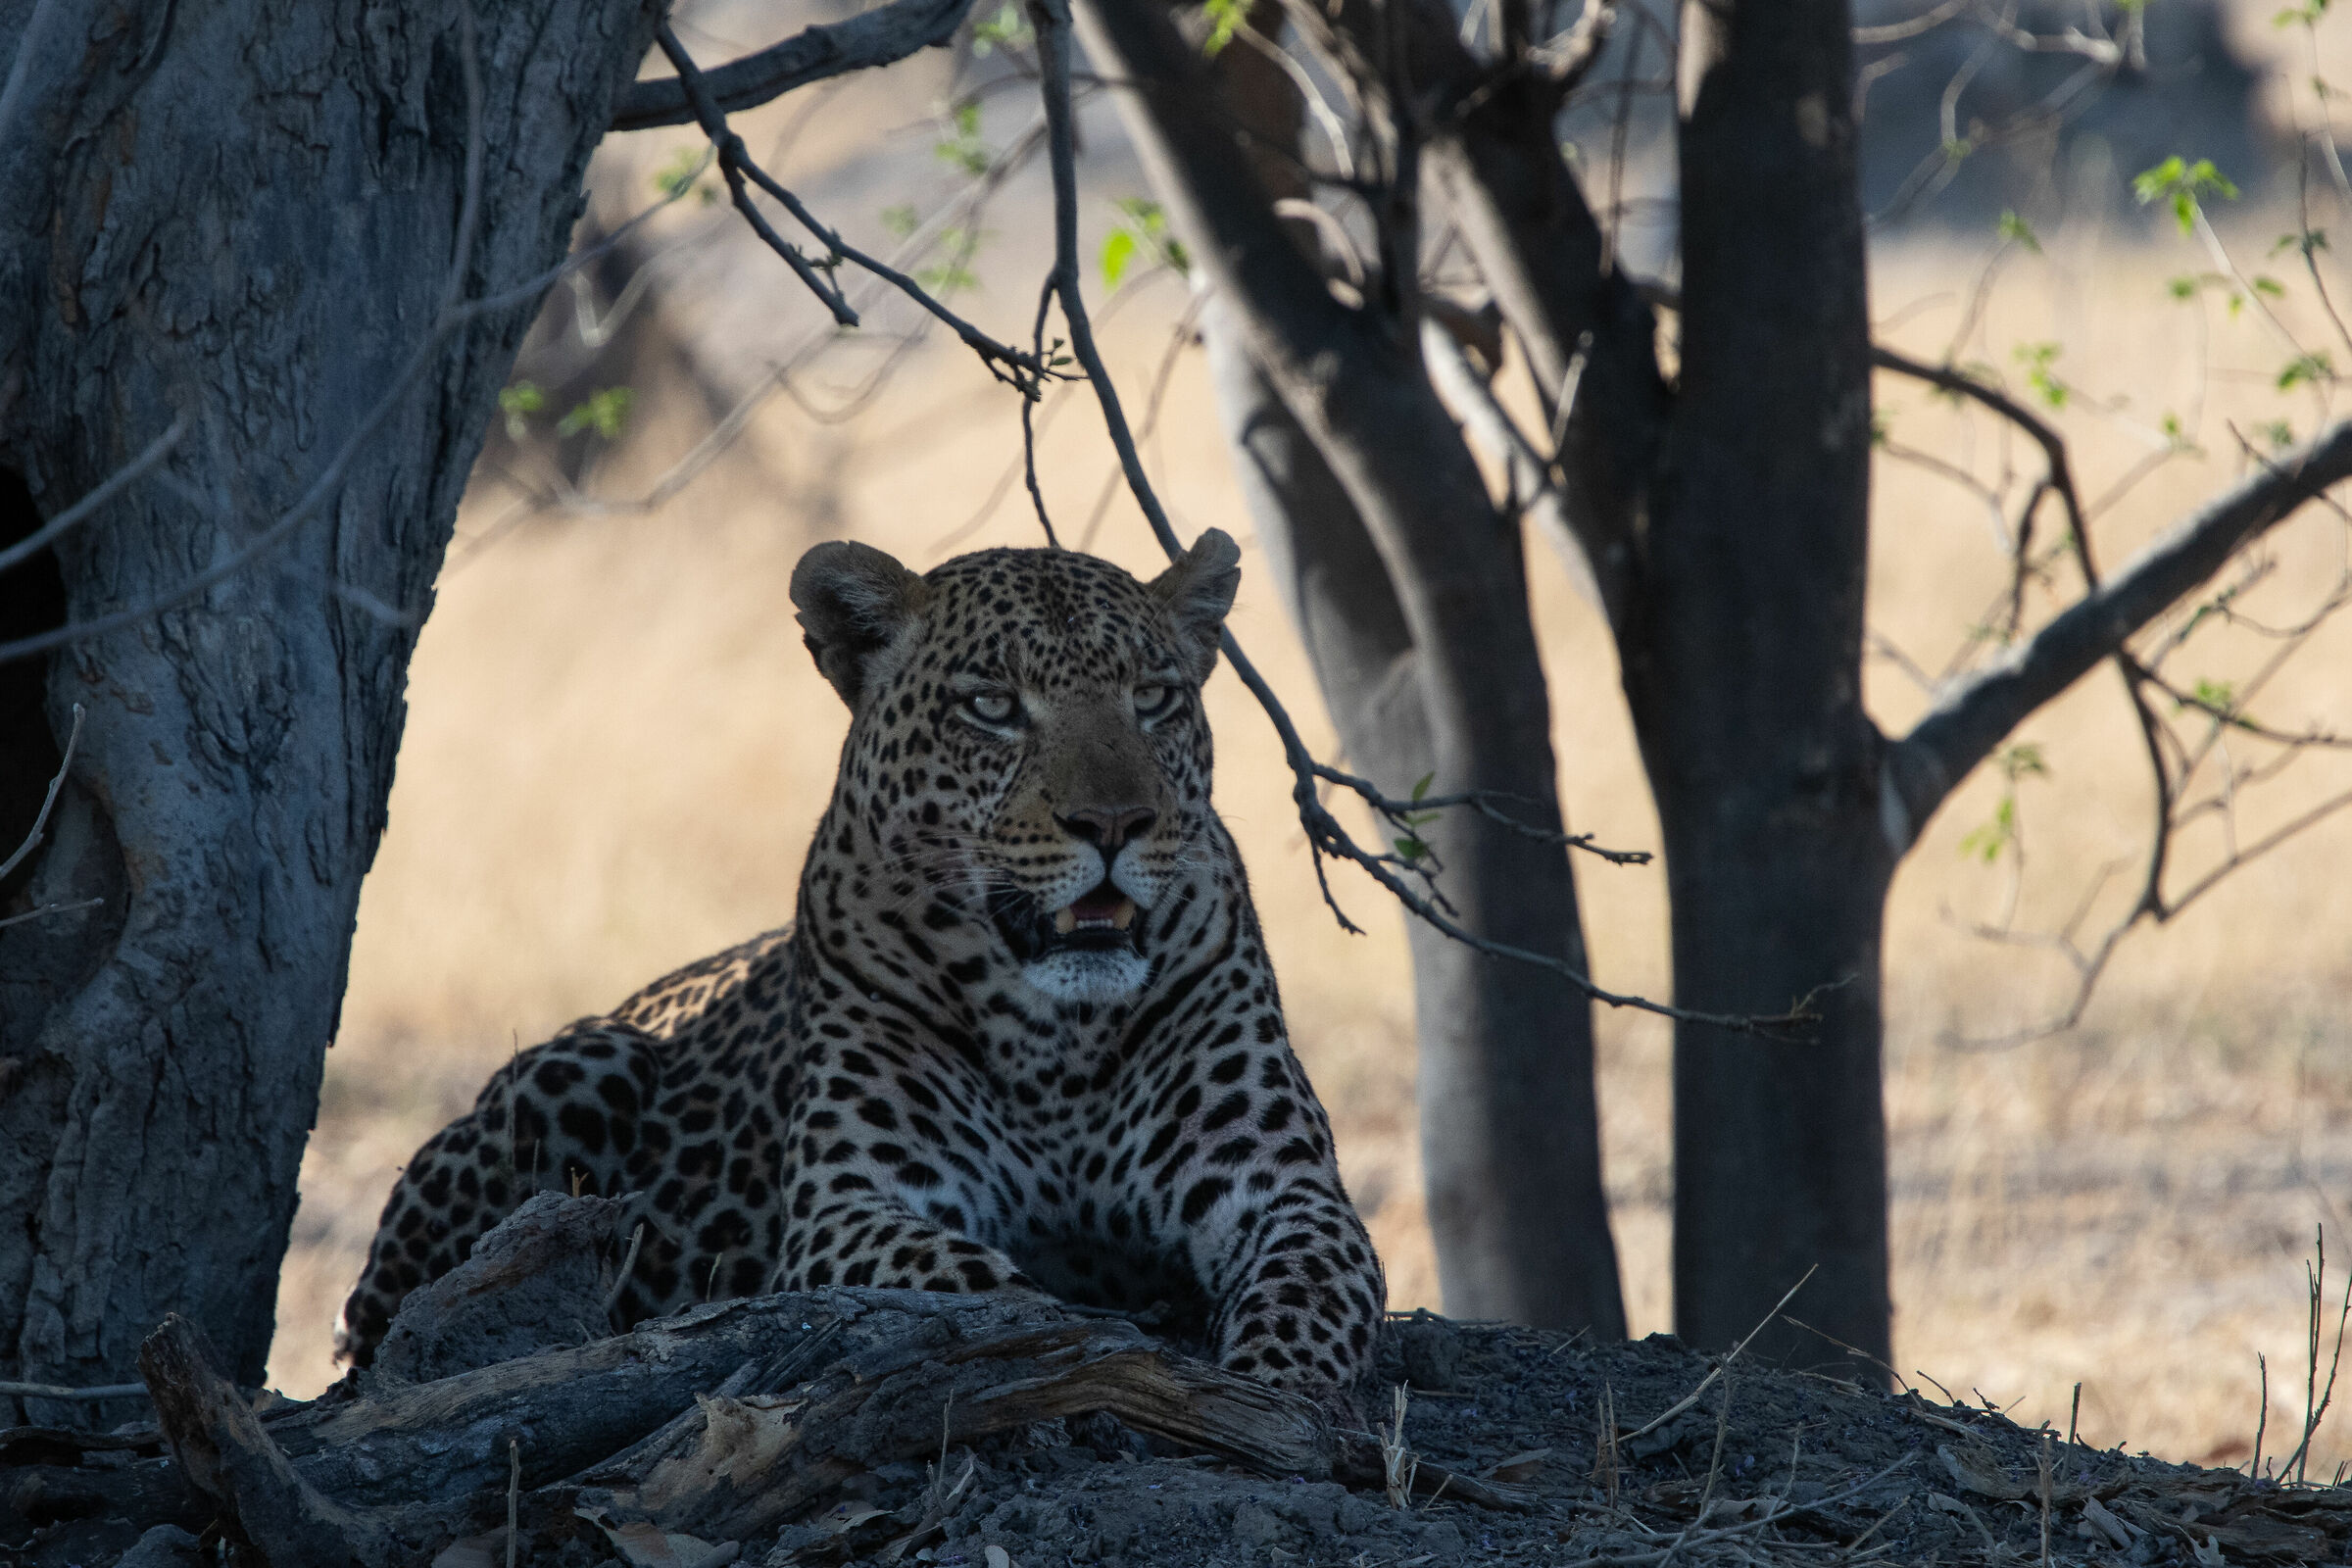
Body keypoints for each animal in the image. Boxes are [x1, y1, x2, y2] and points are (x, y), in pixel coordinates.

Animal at [336, 531, 1386, 1398]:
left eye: (1155, 698)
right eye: (992, 706)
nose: (1116, 823)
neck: (1055, 1042)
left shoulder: (1286, 1191)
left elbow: (1311, 1295)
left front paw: (1271, 1394)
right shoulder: (848, 1208)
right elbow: (976, 1284)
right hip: (577, 1070)